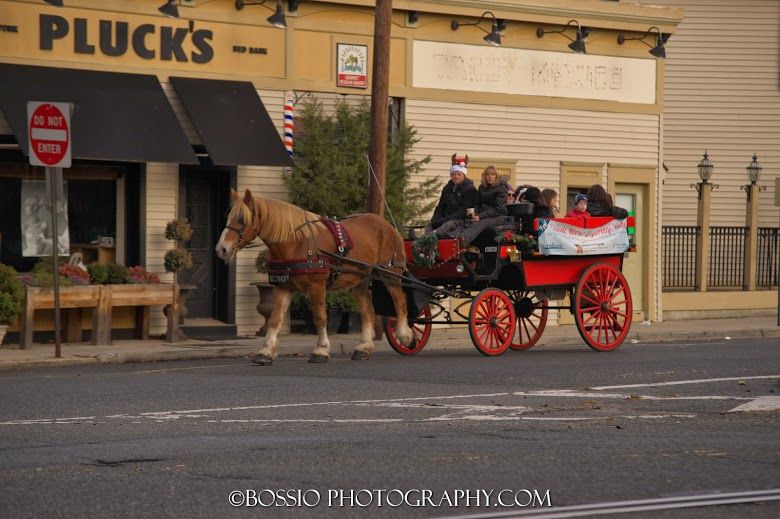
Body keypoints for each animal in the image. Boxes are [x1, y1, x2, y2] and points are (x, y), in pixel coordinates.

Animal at [210, 190, 412, 366]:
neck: (295, 242)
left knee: (401, 301)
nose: (221, 249)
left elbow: (320, 317)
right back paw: (364, 348)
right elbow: (275, 320)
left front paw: (321, 350)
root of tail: (387, 225)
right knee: (367, 311)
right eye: (228, 217)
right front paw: (265, 352)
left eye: (241, 219)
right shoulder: (283, 287)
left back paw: (405, 335)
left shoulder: (317, 286)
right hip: (360, 280)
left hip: (389, 274)